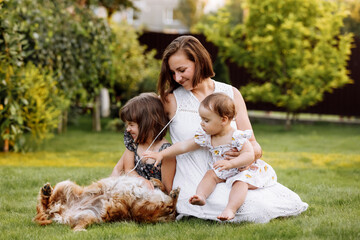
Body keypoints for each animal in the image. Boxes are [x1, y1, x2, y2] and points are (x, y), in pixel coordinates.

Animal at [33, 175, 180, 232]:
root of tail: (57, 212)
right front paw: (157, 182)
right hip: (65, 185)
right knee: (46, 203)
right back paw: (46, 191)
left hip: (88, 214)